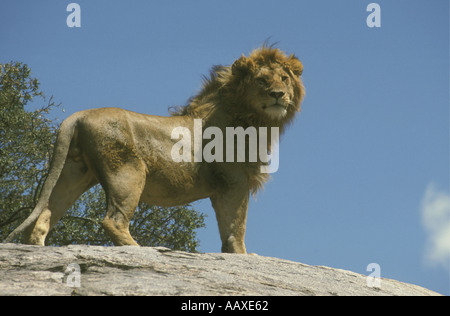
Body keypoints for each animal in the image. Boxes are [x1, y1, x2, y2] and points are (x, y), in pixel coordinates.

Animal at [3, 46, 304, 254]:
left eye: (284, 78)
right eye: (262, 81)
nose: (279, 95)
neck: (255, 120)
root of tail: (78, 115)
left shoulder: (225, 185)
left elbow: (227, 227)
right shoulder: (234, 180)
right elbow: (236, 225)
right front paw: (243, 255)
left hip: (74, 173)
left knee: (46, 214)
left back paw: (38, 248)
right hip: (128, 173)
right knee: (112, 220)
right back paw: (139, 249)